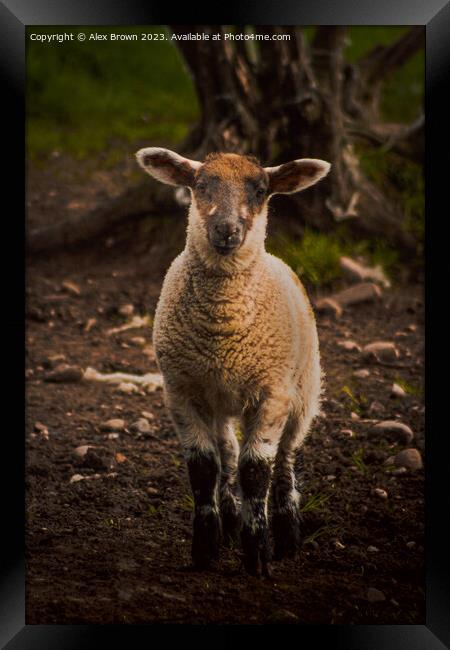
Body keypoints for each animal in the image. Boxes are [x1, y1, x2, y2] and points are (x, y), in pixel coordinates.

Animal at [135, 146, 328, 572]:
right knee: (227, 453)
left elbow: (256, 470)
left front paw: (257, 554)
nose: (226, 230)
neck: (223, 328)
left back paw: (288, 534)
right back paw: (228, 520)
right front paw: (206, 549)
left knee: (286, 460)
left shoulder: (272, 392)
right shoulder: (181, 391)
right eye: (201, 184)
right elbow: (203, 467)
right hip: (219, 401)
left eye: (260, 190)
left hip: (303, 392)